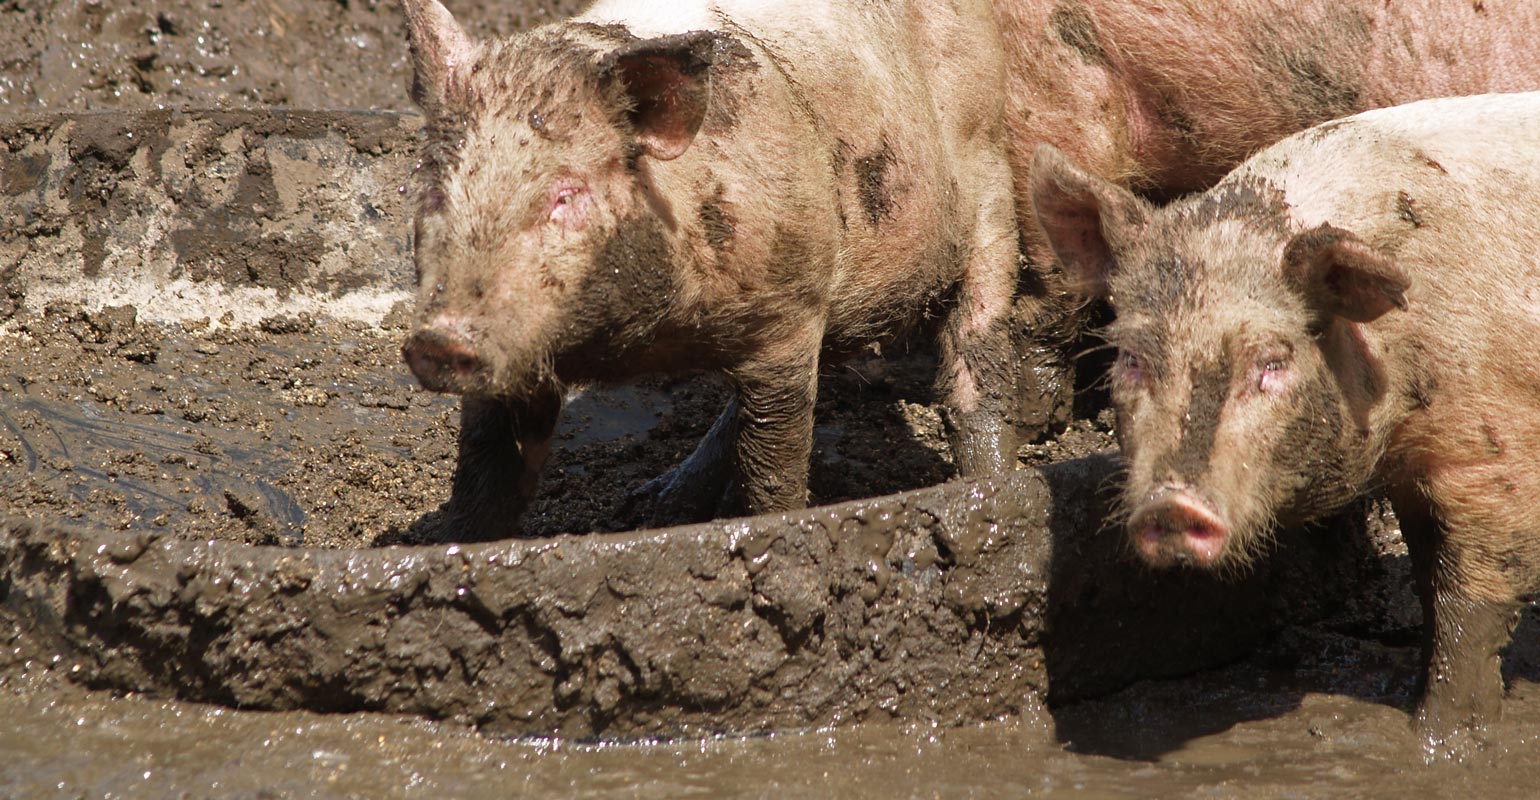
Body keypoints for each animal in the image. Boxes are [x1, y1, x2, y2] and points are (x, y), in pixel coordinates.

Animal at [396, 0, 1020, 536]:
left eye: (566, 195)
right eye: (435, 186)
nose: (438, 340)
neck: (640, 342)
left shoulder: (790, 313)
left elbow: (773, 461)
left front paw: (778, 527)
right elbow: (485, 478)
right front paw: (457, 550)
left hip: (992, 180)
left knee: (975, 366)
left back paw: (994, 490)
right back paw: (651, 506)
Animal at [1029, 91, 1540, 751]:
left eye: (1272, 361)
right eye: (1132, 357)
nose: (1172, 504)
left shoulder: (1493, 457)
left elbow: (1467, 607)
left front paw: (1439, 740)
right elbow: (1428, 581)